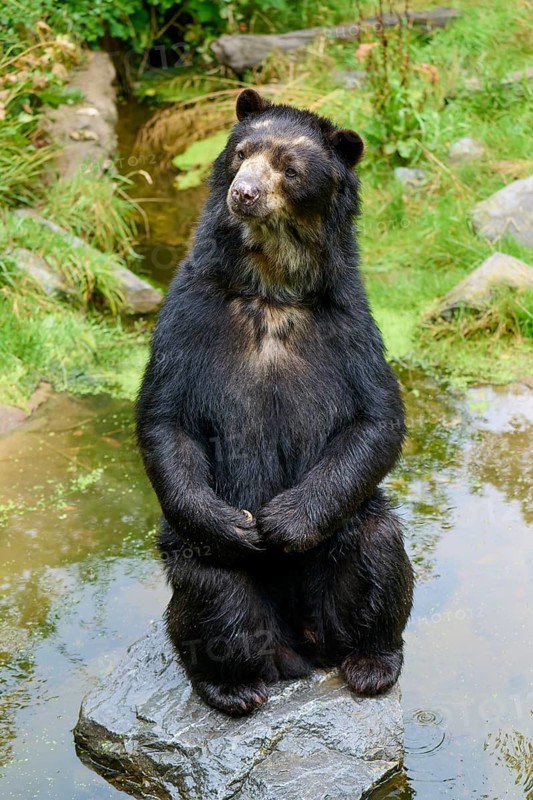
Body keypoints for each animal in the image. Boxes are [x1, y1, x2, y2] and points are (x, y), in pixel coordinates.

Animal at [136, 89, 414, 717]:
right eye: (242, 152)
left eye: (290, 168)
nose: (244, 193)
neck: (270, 286)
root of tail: (302, 649)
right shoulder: (188, 314)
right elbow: (166, 418)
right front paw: (240, 526)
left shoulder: (348, 323)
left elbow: (376, 416)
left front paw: (281, 522)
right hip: (209, 579)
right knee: (212, 594)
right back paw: (235, 685)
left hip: (347, 553)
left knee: (379, 549)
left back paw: (371, 663)